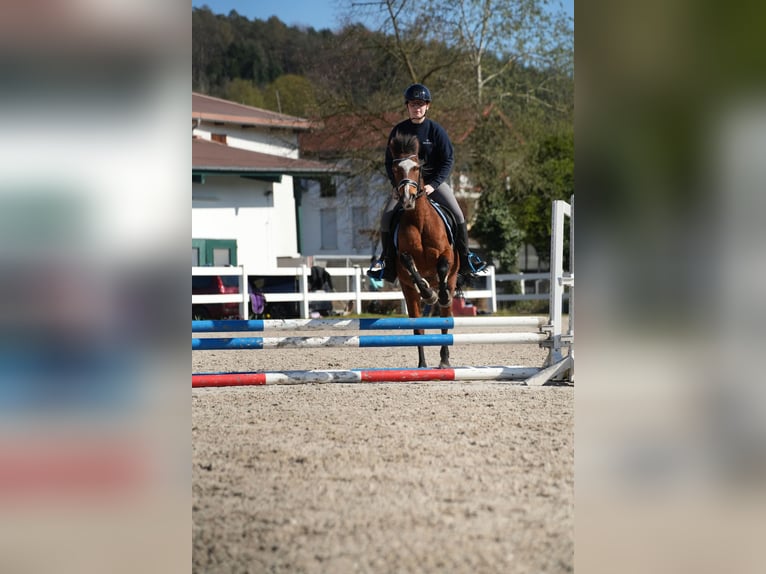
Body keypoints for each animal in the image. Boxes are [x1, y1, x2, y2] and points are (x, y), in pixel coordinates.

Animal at [388, 131, 458, 368]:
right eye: (395, 168)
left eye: (417, 168)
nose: (407, 199)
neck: (419, 220)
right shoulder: (403, 257)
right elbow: (410, 263)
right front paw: (428, 293)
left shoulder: (446, 254)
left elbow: (443, 265)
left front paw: (441, 296)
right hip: (408, 292)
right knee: (418, 327)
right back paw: (422, 365)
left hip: (452, 281)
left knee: (445, 321)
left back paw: (444, 361)